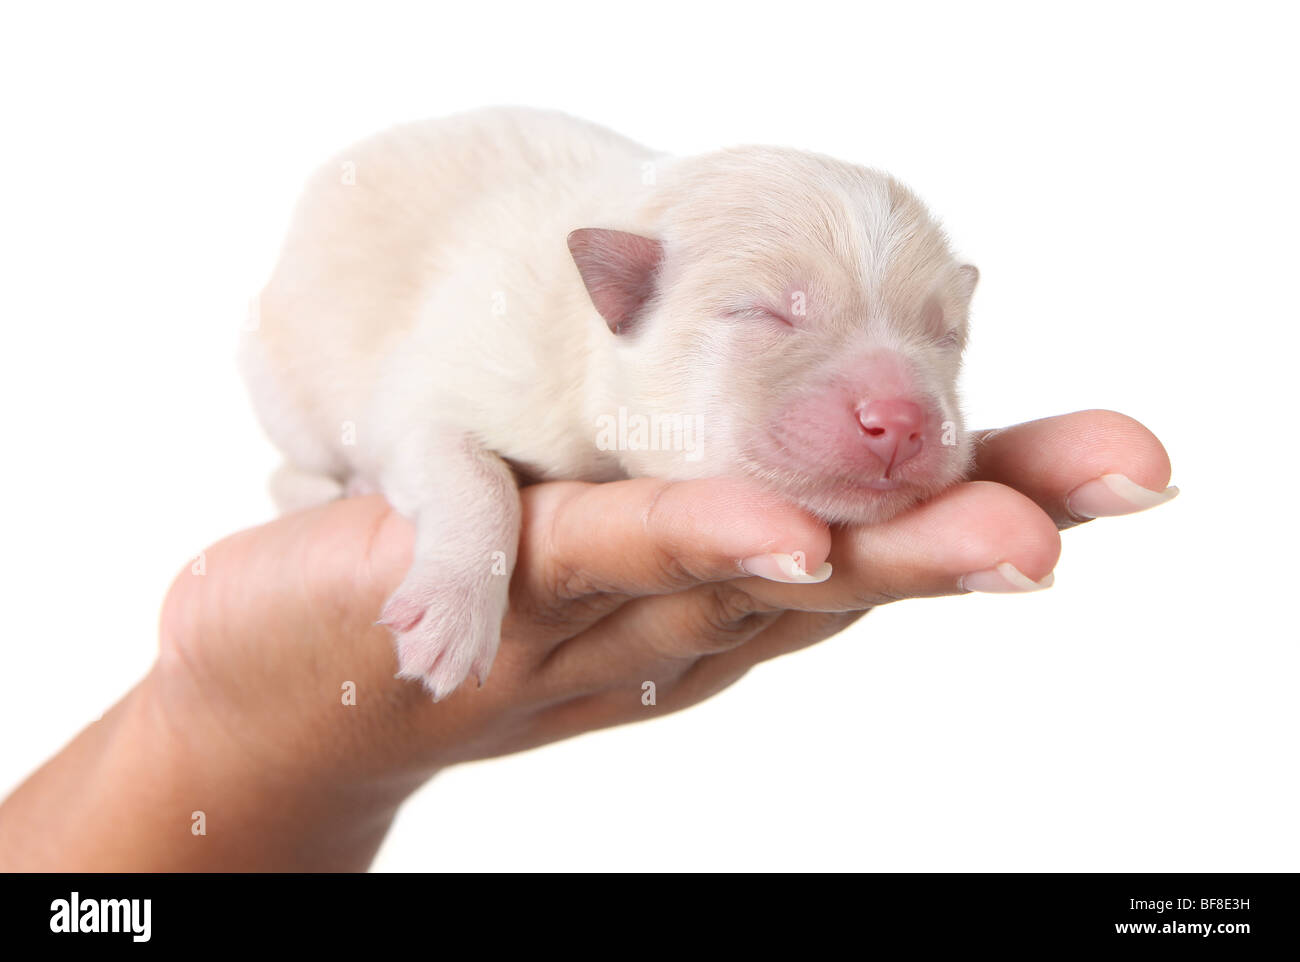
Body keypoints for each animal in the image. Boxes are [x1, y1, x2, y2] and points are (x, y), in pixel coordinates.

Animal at [241, 107, 977, 696]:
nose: (903, 420)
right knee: (287, 471)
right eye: (766, 314)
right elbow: (473, 478)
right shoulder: (438, 388)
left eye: (947, 335)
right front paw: (450, 615)